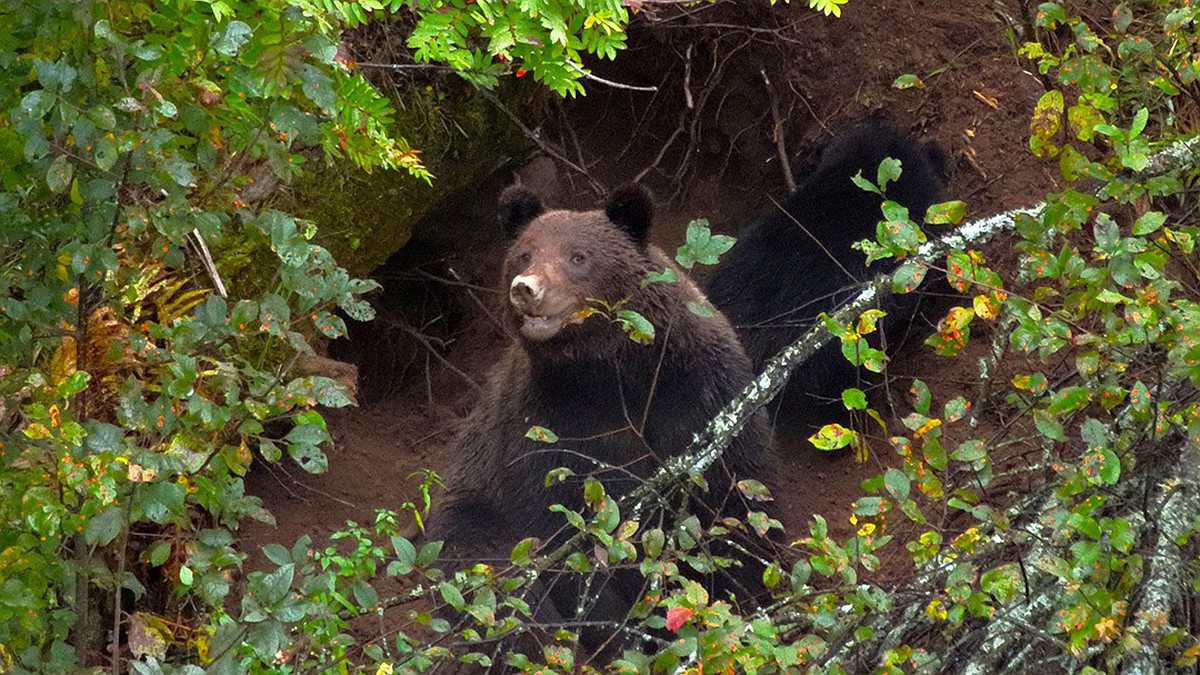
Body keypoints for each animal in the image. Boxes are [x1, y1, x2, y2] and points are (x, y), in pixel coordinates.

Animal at [427, 183, 772, 658]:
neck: (610, 376)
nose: (526, 289)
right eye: (525, 254)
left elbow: (734, 495)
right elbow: (560, 531)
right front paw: (616, 632)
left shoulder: (700, 392)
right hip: (471, 511)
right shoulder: (545, 425)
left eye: (578, 256)